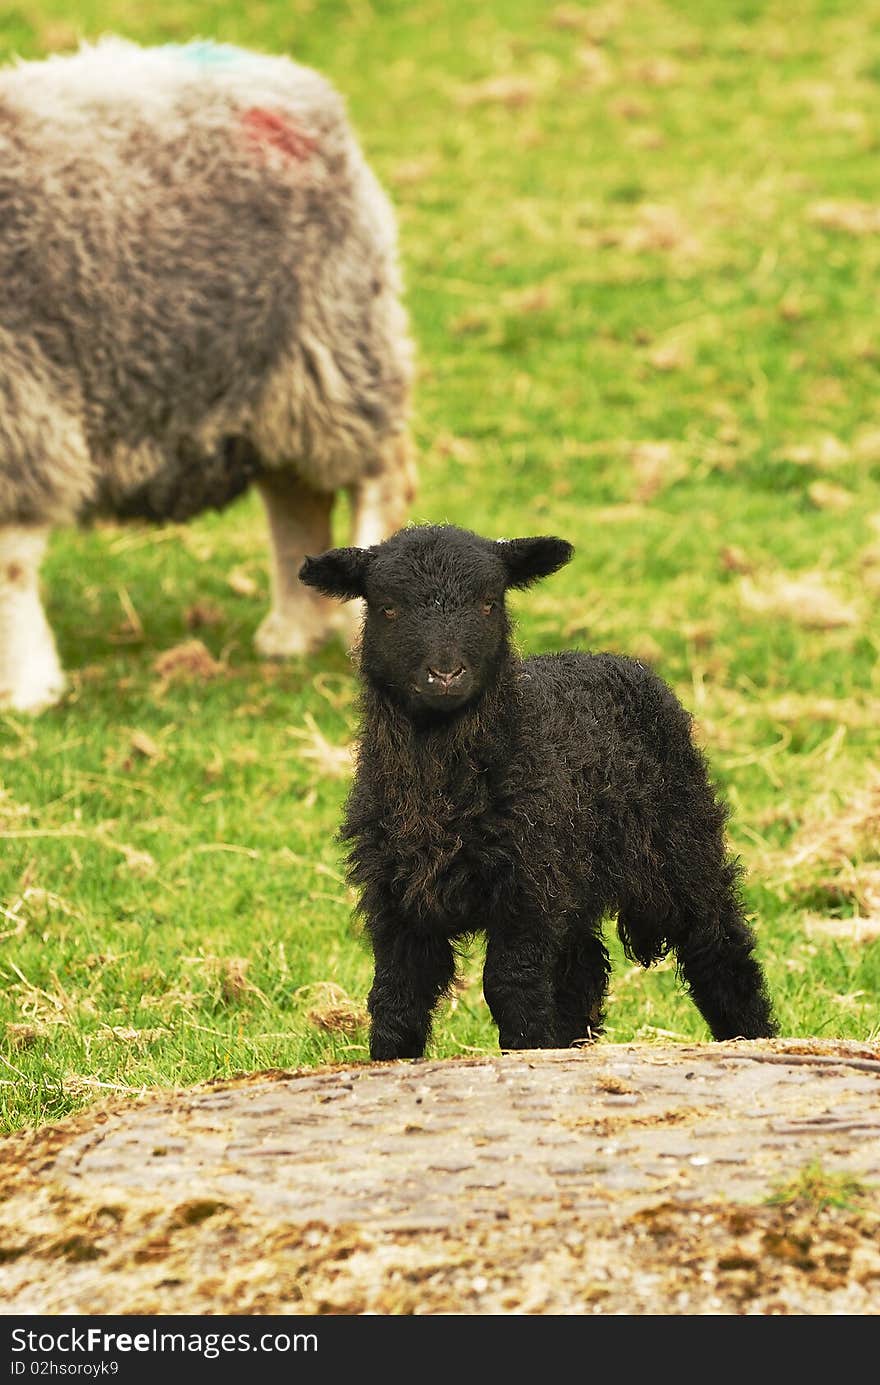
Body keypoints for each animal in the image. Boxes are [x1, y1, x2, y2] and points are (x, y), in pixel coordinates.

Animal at [297, 520, 776, 1058]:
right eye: (387, 607)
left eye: (490, 602)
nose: (445, 674)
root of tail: (619, 661)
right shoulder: (398, 896)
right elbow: (396, 997)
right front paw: (391, 1061)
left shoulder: (527, 884)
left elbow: (511, 986)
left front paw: (527, 1051)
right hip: (575, 874)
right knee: (581, 970)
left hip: (680, 843)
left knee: (718, 945)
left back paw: (753, 1037)